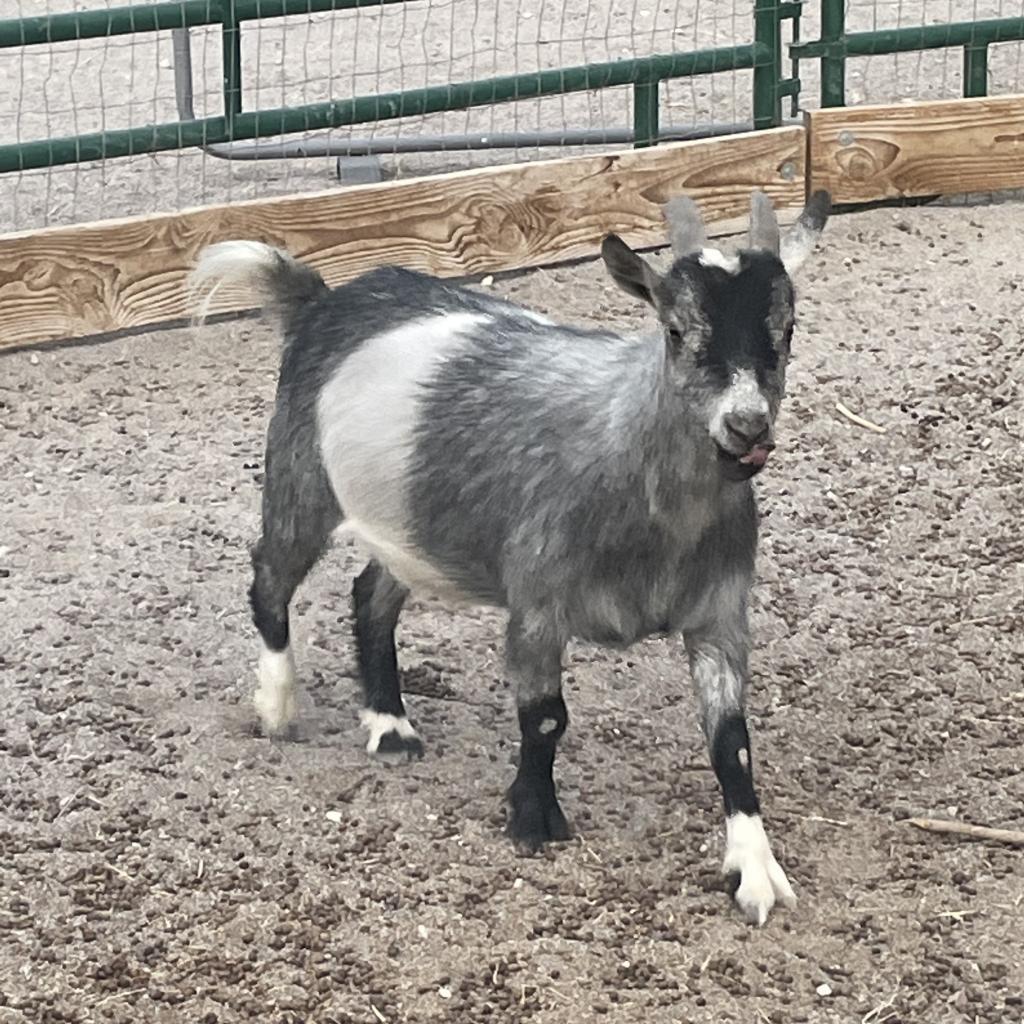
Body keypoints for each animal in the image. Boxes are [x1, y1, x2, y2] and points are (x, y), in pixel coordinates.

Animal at [189, 188, 831, 925]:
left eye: (788, 328)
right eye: (674, 329)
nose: (746, 426)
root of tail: (321, 300)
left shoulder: (719, 615)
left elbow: (732, 741)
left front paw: (754, 867)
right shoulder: (538, 602)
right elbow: (546, 717)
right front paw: (533, 820)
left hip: (408, 528)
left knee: (370, 594)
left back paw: (390, 725)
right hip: (301, 478)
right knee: (269, 577)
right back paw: (276, 706)